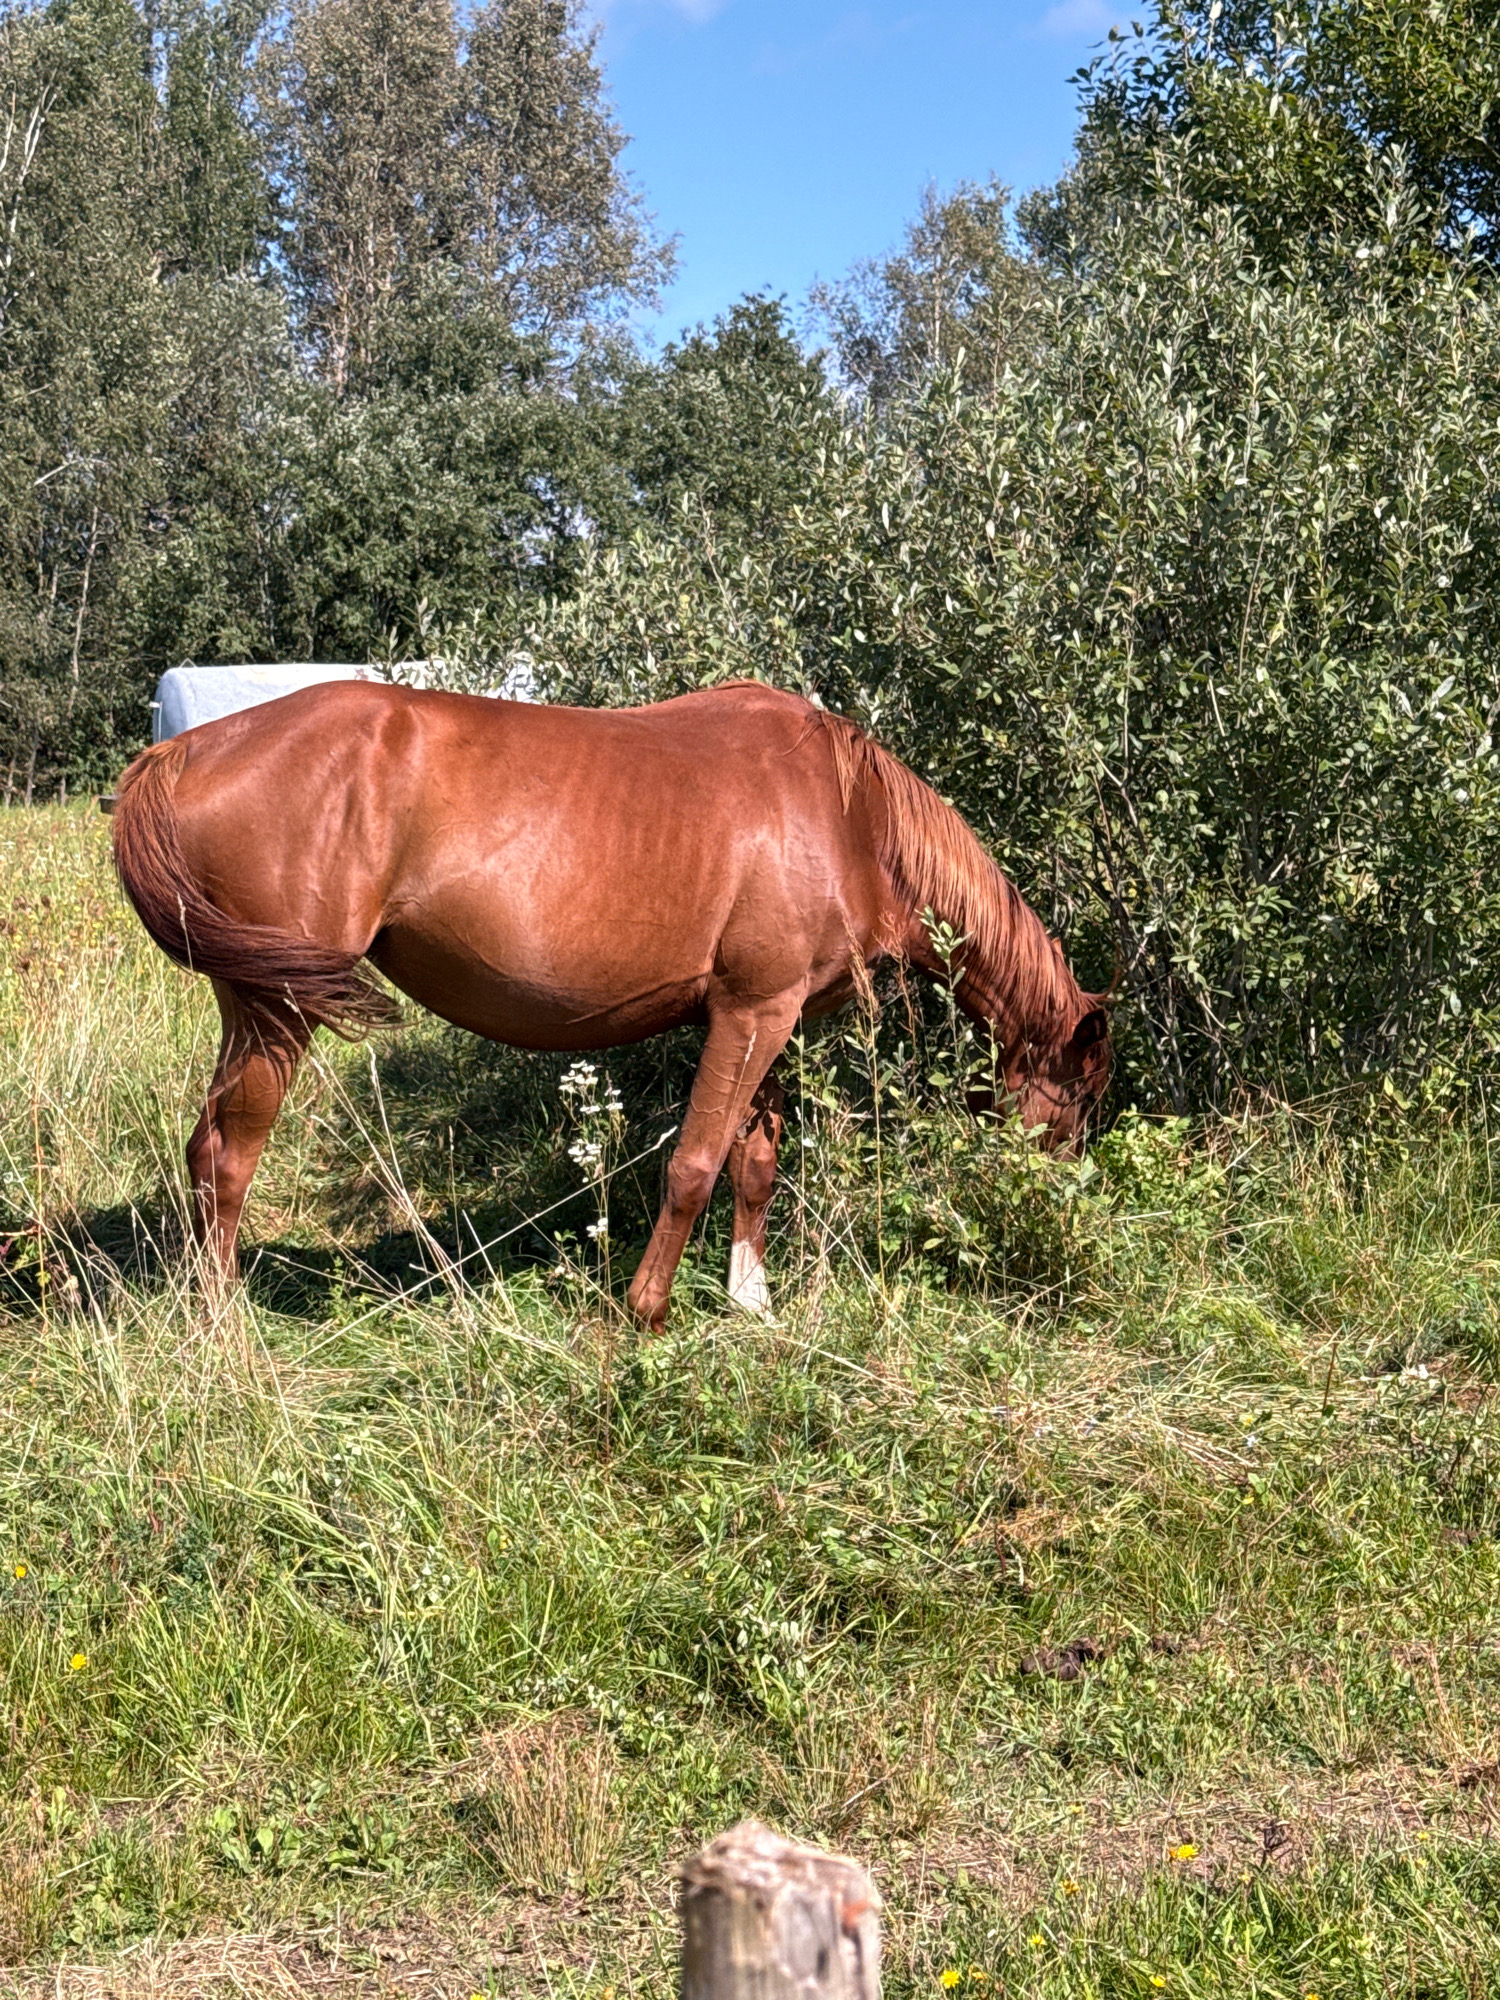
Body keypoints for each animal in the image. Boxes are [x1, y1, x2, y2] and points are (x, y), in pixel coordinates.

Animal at [110, 678, 1112, 1326]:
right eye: (1081, 1096)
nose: (1058, 1205)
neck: (848, 815)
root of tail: (182, 748)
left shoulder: (772, 1015)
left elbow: (754, 1166)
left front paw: (752, 1303)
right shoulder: (749, 1014)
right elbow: (695, 1166)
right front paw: (648, 1311)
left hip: (252, 1008)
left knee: (205, 1147)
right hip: (277, 1012)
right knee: (230, 1156)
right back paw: (224, 1327)